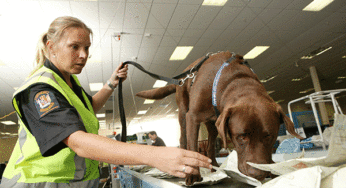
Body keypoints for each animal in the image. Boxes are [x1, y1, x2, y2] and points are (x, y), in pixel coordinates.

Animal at [136, 51, 302, 185]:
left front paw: (272, 166)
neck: (234, 79)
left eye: (269, 136)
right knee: (183, 139)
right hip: (183, 112)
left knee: (210, 144)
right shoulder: (192, 117)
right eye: (241, 137)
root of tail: (182, 77)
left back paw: (214, 165)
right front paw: (193, 174)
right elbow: (193, 146)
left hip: (215, 123)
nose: (257, 174)